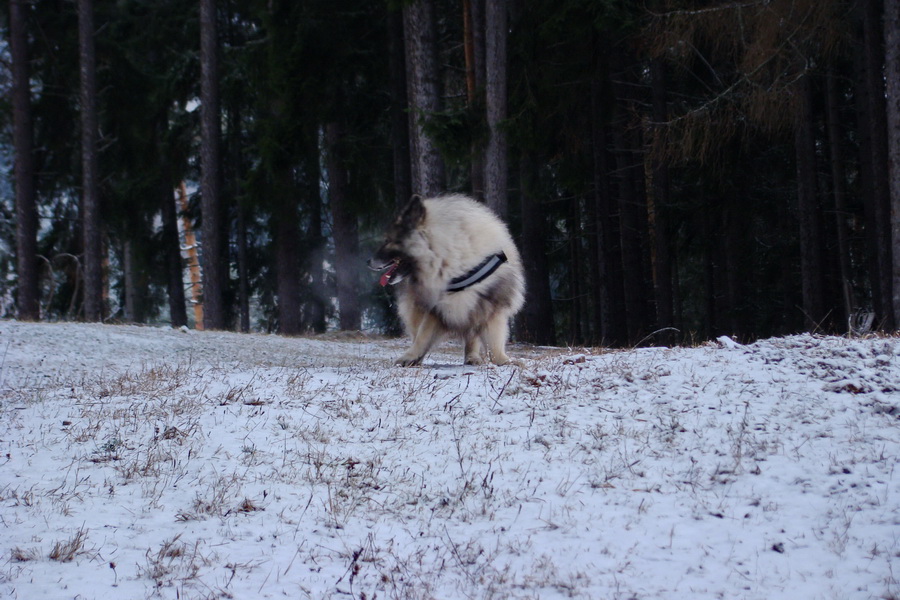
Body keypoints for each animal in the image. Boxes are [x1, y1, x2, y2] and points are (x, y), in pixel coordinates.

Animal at [368, 195, 524, 368]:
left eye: (387, 240)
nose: (368, 261)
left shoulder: (490, 304)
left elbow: (494, 343)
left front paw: (503, 360)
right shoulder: (436, 307)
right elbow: (422, 336)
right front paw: (410, 357)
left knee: (472, 335)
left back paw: (472, 357)